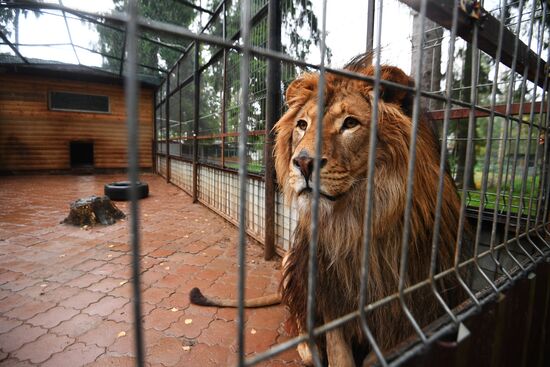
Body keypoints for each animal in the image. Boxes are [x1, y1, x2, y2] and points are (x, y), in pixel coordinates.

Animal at [192, 53, 468, 366]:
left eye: (350, 123)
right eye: (302, 124)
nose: (303, 163)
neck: (357, 222)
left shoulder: (405, 310)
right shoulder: (330, 293)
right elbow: (338, 353)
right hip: (291, 258)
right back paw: (308, 349)